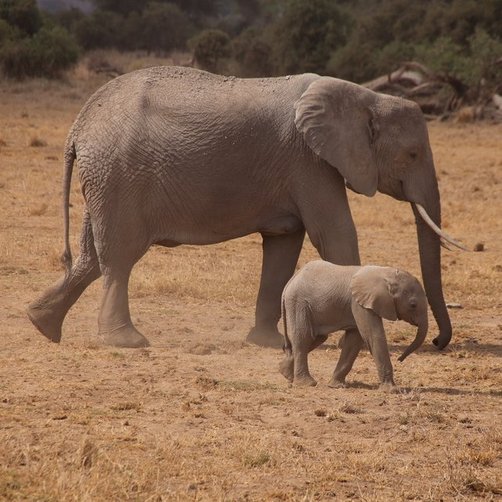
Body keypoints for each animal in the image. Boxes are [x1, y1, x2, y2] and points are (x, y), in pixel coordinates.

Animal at [27, 65, 462, 350]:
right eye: (412, 153)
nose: (439, 342)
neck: (363, 95)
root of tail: (78, 126)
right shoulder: (309, 161)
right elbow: (334, 236)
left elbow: (283, 246)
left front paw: (266, 343)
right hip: (118, 176)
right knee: (118, 257)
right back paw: (126, 342)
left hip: (102, 181)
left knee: (90, 259)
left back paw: (43, 325)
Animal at [278, 260, 428, 390]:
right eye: (413, 305)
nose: (399, 359)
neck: (385, 272)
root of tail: (291, 281)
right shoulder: (360, 304)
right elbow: (373, 336)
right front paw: (392, 390)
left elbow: (354, 340)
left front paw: (336, 385)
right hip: (298, 303)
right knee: (304, 338)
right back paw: (307, 383)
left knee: (317, 338)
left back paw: (285, 373)